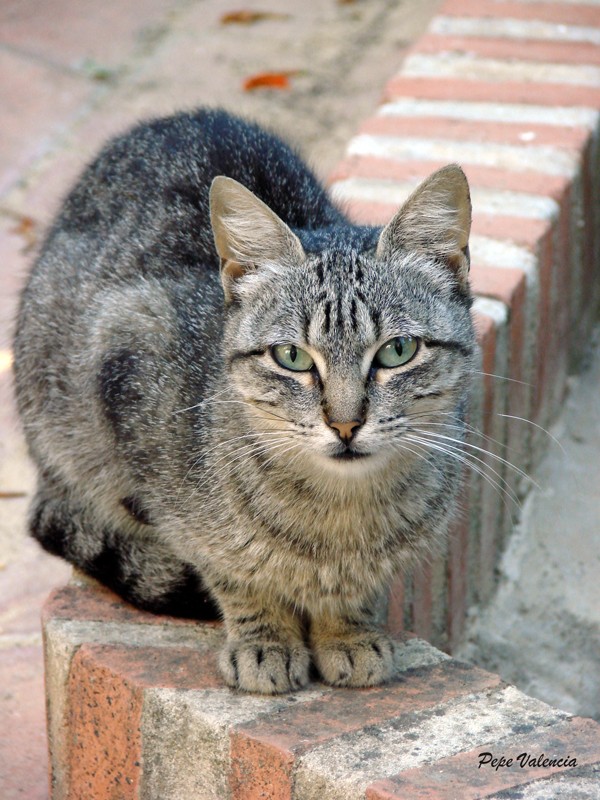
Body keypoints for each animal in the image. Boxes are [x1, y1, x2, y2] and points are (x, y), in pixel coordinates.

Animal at [11, 108, 476, 692]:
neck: (340, 515)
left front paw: (346, 630)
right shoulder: (128, 361)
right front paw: (266, 640)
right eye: (292, 357)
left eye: (397, 350)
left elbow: (353, 591)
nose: (346, 424)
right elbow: (230, 570)